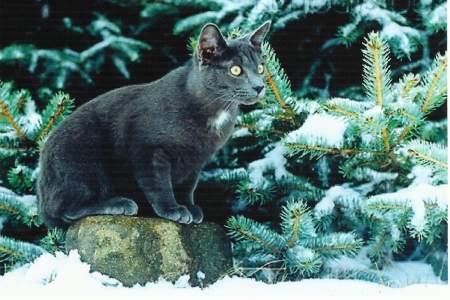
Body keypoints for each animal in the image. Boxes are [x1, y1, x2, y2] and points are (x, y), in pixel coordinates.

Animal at [37, 21, 270, 227]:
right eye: (236, 70)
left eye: (260, 68)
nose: (259, 86)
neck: (215, 111)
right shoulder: (148, 149)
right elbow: (158, 183)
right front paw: (173, 209)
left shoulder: (196, 160)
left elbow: (187, 186)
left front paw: (189, 208)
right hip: (83, 154)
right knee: (67, 209)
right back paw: (120, 203)